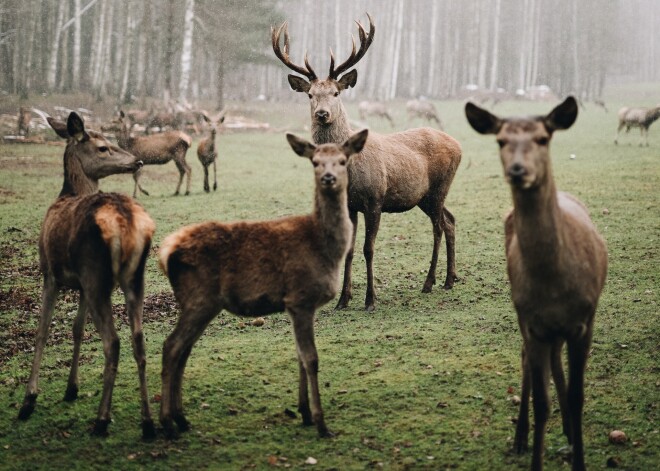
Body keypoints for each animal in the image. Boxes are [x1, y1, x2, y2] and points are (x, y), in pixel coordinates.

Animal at [17, 112, 157, 440]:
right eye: (103, 147)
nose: (137, 161)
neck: (67, 194)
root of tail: (124, 222)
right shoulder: (79, 284)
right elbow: (77, 328)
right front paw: (71, 389)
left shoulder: (50, 273)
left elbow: (42, 330)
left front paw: (29, 400)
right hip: (133, 278)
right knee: (139, 340)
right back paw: (148, 423)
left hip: (97, 275)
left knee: (113, 342)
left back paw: (102, 420)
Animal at [158, 128, 368, 438]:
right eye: (315, 162)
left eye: (342, 160)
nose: (328, 178)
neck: (324, 248)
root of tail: (166, 252)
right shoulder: (300, 297)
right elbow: (311, 358)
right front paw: (321, 423)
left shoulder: (297, 305)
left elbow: (300, 356)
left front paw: (304, 413)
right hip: (199, 298)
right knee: (171, 347)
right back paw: (165, 424)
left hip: (200, 303)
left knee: (183, 350)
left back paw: (181, 419)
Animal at [270, 13, 462, 314]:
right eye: (310, 94)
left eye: (336, 93)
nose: (322, 113)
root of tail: (458, 145)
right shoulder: (350, 206)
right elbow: (347, 250)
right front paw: (343, 300)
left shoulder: (375, 199)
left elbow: (368, 249)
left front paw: (370, 299)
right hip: (425, 196)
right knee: (450, 220)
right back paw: (449, 279)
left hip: (439, 187)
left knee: (439, 227)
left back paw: (430, 282)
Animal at [464, 97, 608, 471]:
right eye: (500, 140)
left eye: (543, 138)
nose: (517, 170)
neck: (554, 284)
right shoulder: (531, 321)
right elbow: (543, 402)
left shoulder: (585, 319)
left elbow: (578, 396)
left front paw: (579, 458)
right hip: (528, 321)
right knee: (527, 357)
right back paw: (521, 438)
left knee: (554, 361)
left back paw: (570, 431)